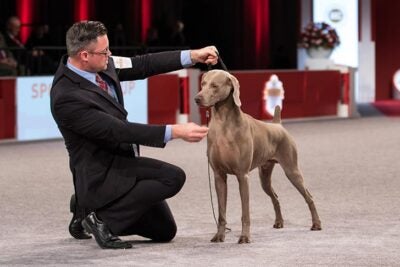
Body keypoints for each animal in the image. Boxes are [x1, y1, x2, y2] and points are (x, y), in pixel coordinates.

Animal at [194, 69, 322, 245]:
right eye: (203, 83)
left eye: (214, 85)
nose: (197, 98)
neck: (223, 124)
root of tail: (278, 125)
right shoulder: (219, 176)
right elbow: (221, 212)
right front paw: (219, 236)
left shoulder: (242, 176)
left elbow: (245, 212)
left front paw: (244, 237)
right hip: (265, 176)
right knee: (275, 197)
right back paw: (279, 222)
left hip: (292, 170)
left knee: (309, 196)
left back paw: (316, 224)